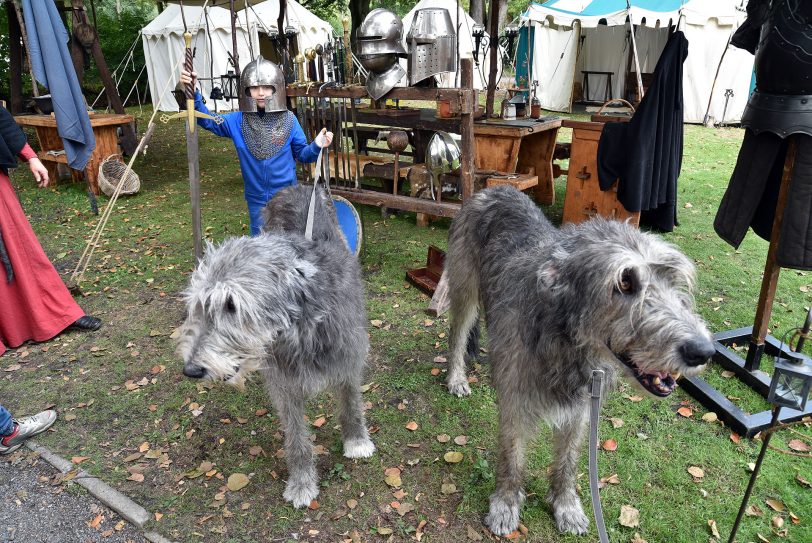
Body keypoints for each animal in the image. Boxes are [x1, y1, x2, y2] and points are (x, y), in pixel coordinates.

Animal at [178, 187, 374, 510]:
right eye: (199, 304)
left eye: (231, 304)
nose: (191, 370)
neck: (303, 326)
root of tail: (296, 186)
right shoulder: (285, 384)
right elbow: (296, 438)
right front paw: (302, 482)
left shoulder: (348, 359)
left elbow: (351, 403)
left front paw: (356, 440)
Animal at [444, 186, 716, 536]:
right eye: (624, 281)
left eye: (672, 278)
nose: (703, 351)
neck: (566, 342)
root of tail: (494, 188)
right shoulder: (515, 401)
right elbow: (512, 456)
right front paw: (505, 502)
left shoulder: (582, 406)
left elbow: (568, 461)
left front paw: (566, 505)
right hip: (464, 286)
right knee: (457, 334)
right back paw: (456, 377)